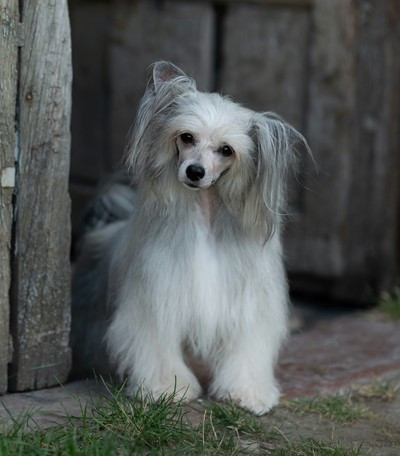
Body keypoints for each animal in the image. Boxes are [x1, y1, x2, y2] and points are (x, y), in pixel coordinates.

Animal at [71, 61, 309, 415]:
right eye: (187, 137)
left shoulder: (245, 305)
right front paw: (166, 389)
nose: (195, 171)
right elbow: (158, 348)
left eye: (226, 150)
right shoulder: (156, 301)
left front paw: (247, 393)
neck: (206, 221)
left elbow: (245, 350)